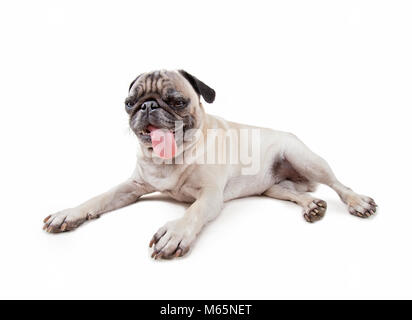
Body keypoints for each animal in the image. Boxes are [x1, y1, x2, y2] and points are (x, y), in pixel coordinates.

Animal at [43, 69, 378, 258]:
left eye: (177, 101)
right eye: (129, 103)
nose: (147, 106)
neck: (170, 159)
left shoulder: (210, 195)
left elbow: (193, 212)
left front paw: (175, 233)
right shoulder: (132, 186)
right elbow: (99, 198)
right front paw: (68, 214)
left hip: (304, 158)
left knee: (339, 185)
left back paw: (357, 201)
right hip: (272, 188)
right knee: (295, 193)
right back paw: (311, 206)